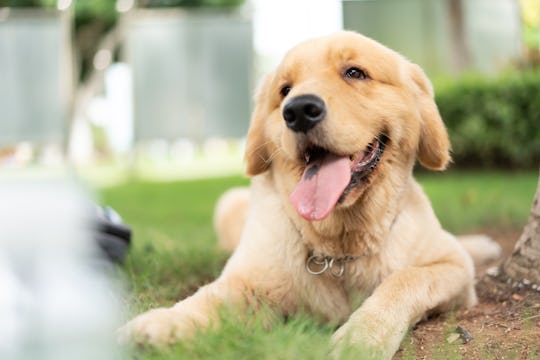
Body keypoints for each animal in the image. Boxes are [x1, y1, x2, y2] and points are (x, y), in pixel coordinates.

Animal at [120, 32, 500, 358]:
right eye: (285, 90)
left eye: (354, 72)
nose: (299, 110)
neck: (340, 249)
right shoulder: (250, 281)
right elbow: (207, 299)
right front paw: (161, 322)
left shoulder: (452, 267)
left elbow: (404, 279)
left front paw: (361, 336)